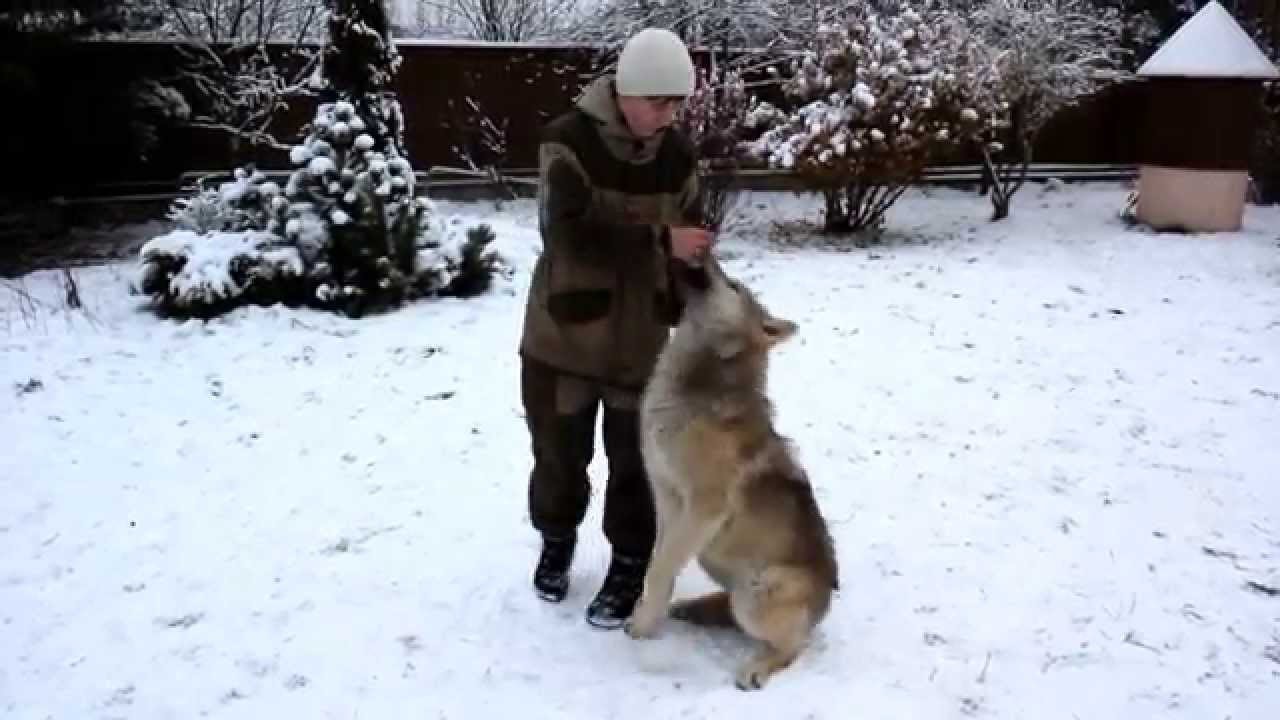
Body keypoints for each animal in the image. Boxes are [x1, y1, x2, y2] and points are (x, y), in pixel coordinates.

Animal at [622, 251, 839, 681]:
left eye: (734, 286)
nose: (705, 251)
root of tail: (824, 607)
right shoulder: (667, 501)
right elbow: (659, 565)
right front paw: (647, 618)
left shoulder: (703, 508)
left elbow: (659, 569)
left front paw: (641, 629)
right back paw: (691, 608)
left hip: (753, 596)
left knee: (793, 647)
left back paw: (757, 668)